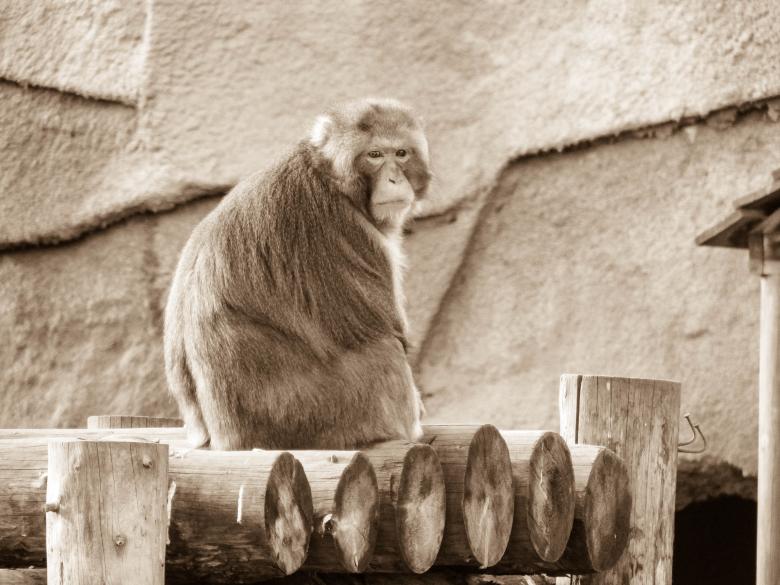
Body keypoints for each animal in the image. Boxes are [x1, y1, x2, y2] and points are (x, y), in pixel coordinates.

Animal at [163, 98, 432, 450]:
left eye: (401, 153)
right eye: (375, 155)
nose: (394, 180)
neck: (330, 177)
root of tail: (225, 437)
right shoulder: (347, 229)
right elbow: (387, 328)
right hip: (314, 415)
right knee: (386, 352)